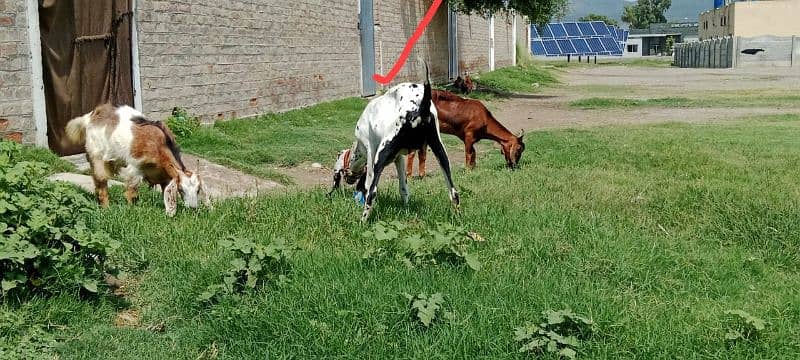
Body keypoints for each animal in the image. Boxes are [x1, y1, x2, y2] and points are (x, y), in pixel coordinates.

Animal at [67, 104, 209, 217]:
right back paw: (106, 208)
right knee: (101, 182)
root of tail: (90, 116)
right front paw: (132, 209)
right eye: (181, 189)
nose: (193, 208)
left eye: (198, 190)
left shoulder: (164, 175)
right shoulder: (134, 167)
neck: (160, 144)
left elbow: (164, 192)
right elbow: (132, 192)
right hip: (96, 155)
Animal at [332, 64, 460, 222]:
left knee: (372, 193)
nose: (349, 180)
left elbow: (368, 186)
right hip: (441, 154)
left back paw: (362, 221)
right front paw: (407, 209)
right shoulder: (399, 159)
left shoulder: (371, 154)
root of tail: (420, 107)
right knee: (454, 193)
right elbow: (404, 188)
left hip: (380, 158)